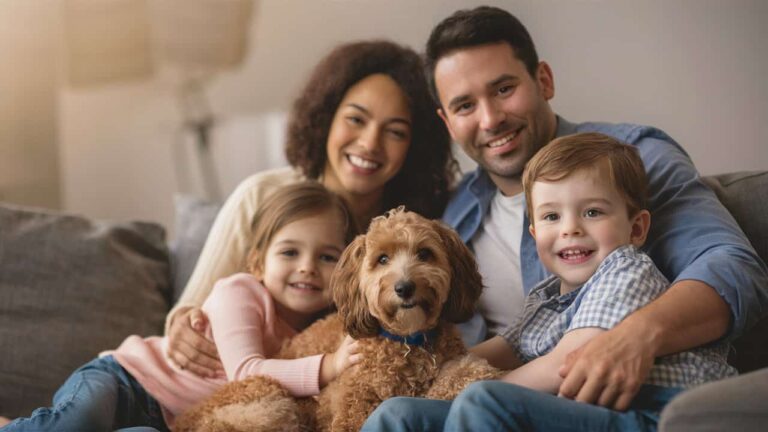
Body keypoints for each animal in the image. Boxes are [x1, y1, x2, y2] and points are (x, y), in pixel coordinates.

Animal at [173, 208, 498, 430]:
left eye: (425, 254)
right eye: (382, 259)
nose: (405, 288)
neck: (407, 339)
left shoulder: (454, 366)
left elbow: (464, 373)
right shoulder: (351, 408)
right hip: (269, 400)